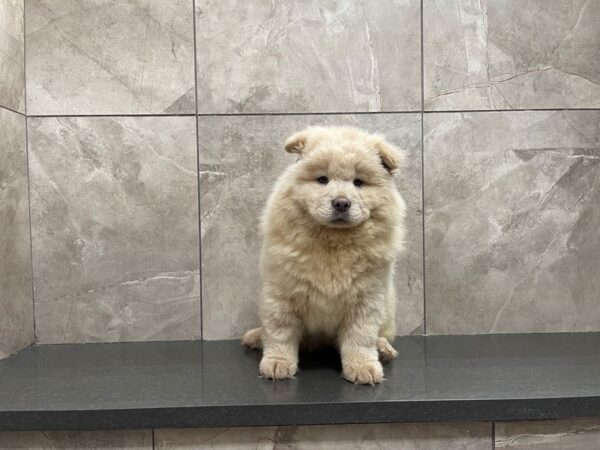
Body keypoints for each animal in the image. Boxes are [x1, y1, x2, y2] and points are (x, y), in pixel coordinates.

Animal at [241, 125, 406, 384]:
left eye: (358, 183)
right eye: (322, 180)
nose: (341, 203)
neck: (333, 242)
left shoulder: (366, 299)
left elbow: (360, 338)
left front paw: (363, 368)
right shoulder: (282, 294)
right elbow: (280, 333)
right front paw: (277, 364)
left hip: (388, 307)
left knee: (381, 334)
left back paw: (384, 350)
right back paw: (255, 338)